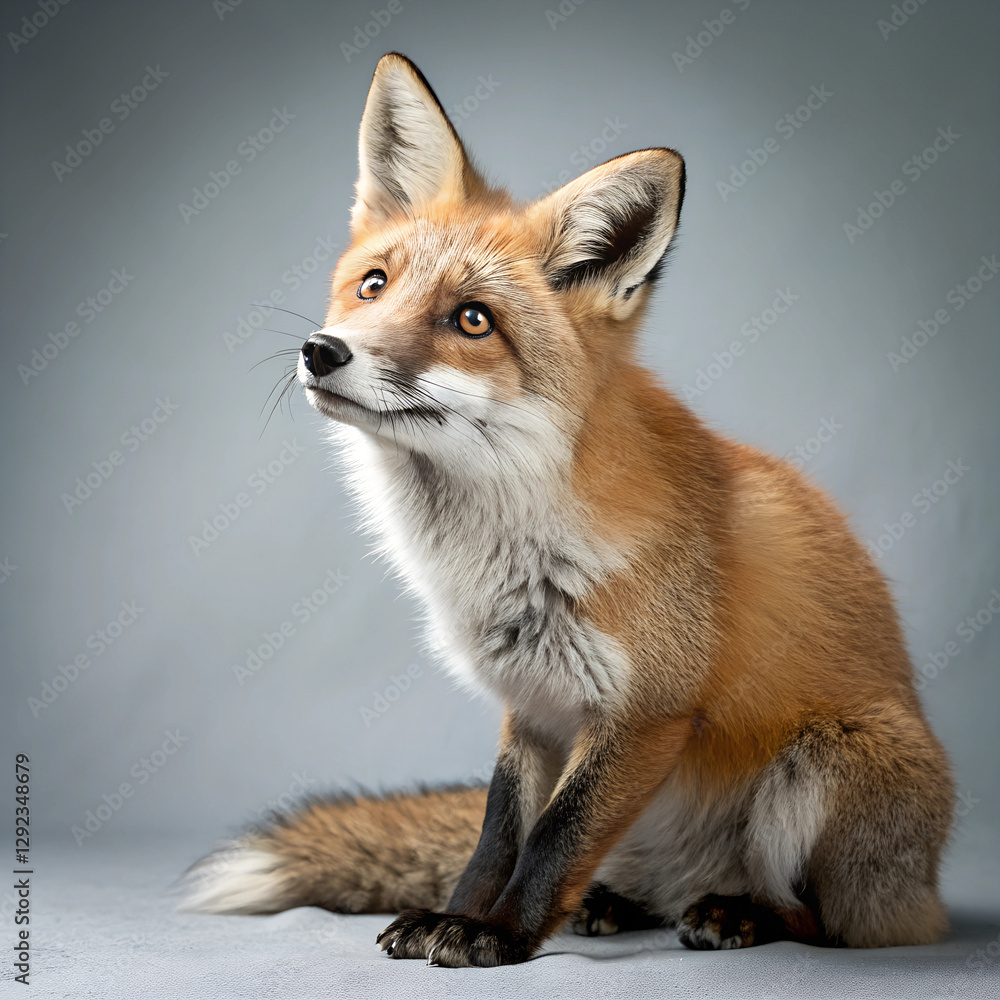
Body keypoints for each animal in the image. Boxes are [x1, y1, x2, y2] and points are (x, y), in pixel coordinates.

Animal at [181, 53, 955, 967]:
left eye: (472, 320)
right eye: (373, 285)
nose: (323, 351)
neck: (503, 546)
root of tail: (929, 895)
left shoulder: (645, 713)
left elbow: (556, 836)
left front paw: (498, 936)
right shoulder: (533, 707)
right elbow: (498, 834)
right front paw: (455, 915)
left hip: (822, 767)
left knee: (821, 920)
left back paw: (740, 915)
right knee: (644, 888)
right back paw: (615, 904)